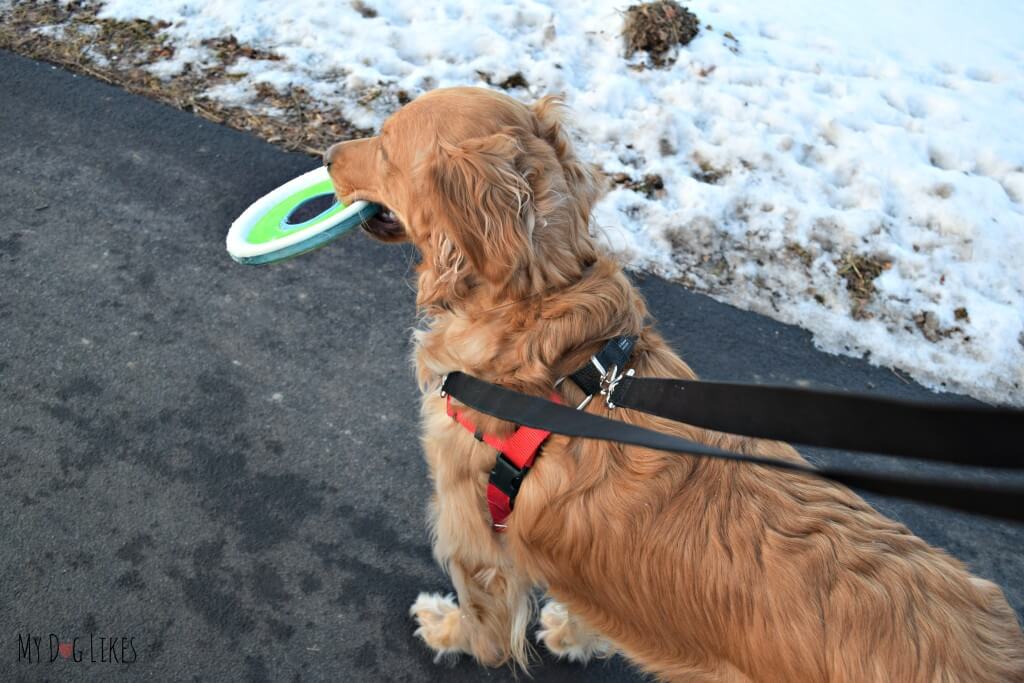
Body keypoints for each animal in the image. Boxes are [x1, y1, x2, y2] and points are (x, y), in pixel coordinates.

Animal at [323, 88, 1019, 679]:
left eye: (385, 146)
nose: (328, 155)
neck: (543, 315)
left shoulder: (475, 540)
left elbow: (487, 629)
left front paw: (449, 632)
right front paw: (578, 636)